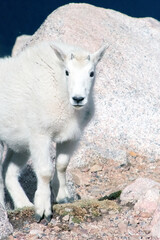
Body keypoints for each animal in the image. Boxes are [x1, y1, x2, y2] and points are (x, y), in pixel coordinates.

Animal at [0, 41, 106, 221]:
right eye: (67, 72)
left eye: (91, 73)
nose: (78, 99)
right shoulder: (40, 135)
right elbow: (44, 171)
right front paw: (43, 210)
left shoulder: (71, 137)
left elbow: (62, 165)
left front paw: (63, 197)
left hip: (20, 145)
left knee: (8, 171)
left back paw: (23, 204)